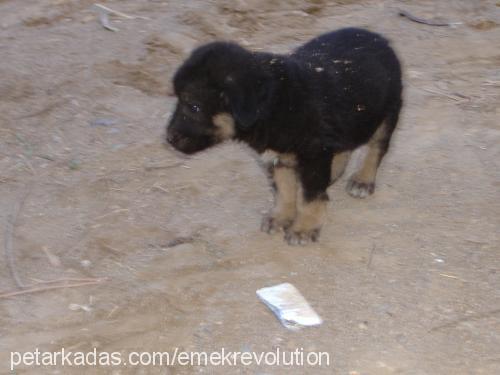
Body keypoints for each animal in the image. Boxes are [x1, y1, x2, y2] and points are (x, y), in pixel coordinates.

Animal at [167, 26, 402, 244]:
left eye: (194, 107)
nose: (169, 139)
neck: (274, 104)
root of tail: (378, 38)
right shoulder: (279, 156)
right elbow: (285, 189)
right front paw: (281, 217)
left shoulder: (314, 154)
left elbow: (310, 195)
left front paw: (304, 227)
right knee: (345, 147)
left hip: (387, 112)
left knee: (377, 147)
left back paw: (363, 180)